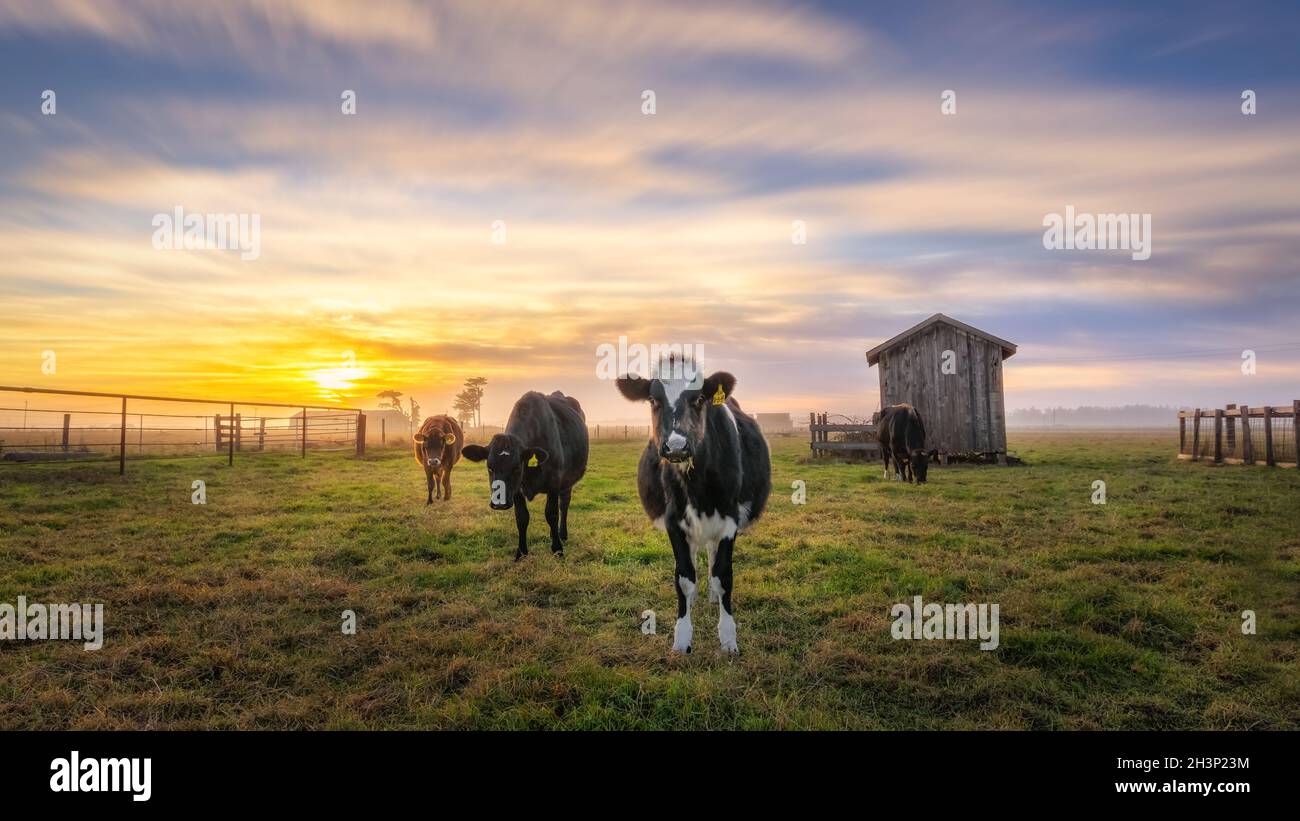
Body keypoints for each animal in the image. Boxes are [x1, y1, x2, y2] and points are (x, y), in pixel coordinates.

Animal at [462, 389, 590, 558]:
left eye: (517, 468)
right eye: (490, 467)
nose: (499, 503)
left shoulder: (554, 482)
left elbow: (552, 514)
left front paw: (557, 549)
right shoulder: (517, 490)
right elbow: (521, 517)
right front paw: (521, 552)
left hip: (567, 481)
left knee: (564, 504)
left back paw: (561, 534)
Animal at [613, 366, 764, 654]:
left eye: (699, 399)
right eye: (653, 400)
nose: (676, 447)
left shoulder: (729, 521)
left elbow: (723, 575)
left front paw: (728, 638)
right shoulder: (675, 522)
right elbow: (683, 577)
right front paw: (682, 638)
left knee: (713, 558)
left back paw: (713, 597)